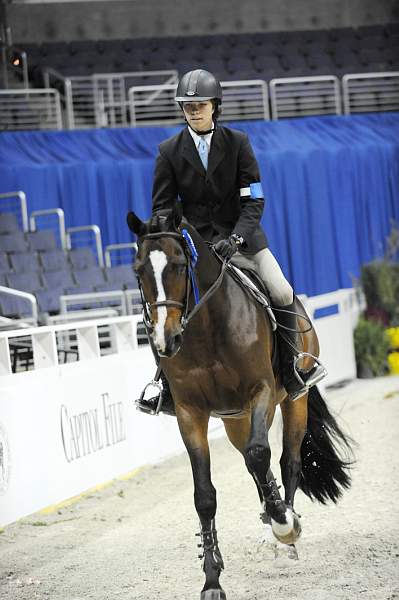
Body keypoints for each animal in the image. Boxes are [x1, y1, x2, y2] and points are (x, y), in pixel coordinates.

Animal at [127, 206, 354, 600]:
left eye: (179, 265)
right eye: (139, 270)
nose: (165, 341)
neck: (205, 329)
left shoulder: (260, 391)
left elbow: (261, 454)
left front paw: (284, 523)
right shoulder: (189, 413)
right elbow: (205, 495)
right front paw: (212, 579)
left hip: (291, 400)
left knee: (286, 460)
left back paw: (284, 528)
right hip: (235, 419)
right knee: (255, 465)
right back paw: (269, 515)